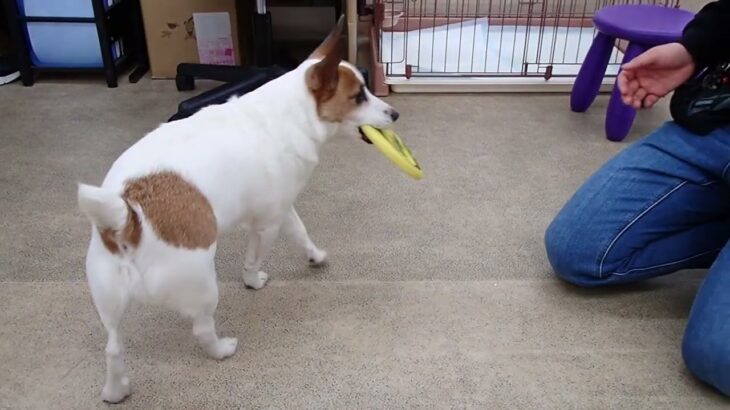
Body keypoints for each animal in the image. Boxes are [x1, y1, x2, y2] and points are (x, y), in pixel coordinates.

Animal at [77, 20, 396, 404]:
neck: (291, 113)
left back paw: (116, 391)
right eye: (358, 96)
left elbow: (301, 232)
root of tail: (129, 219)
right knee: (201, 329)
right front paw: (254, 281)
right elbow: (256, 258)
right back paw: (222, 349)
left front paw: (315, 256)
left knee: (112, 349)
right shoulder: (267, 223)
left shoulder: (282, 208)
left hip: (108, 301)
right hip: (202, 286)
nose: (395, 114)